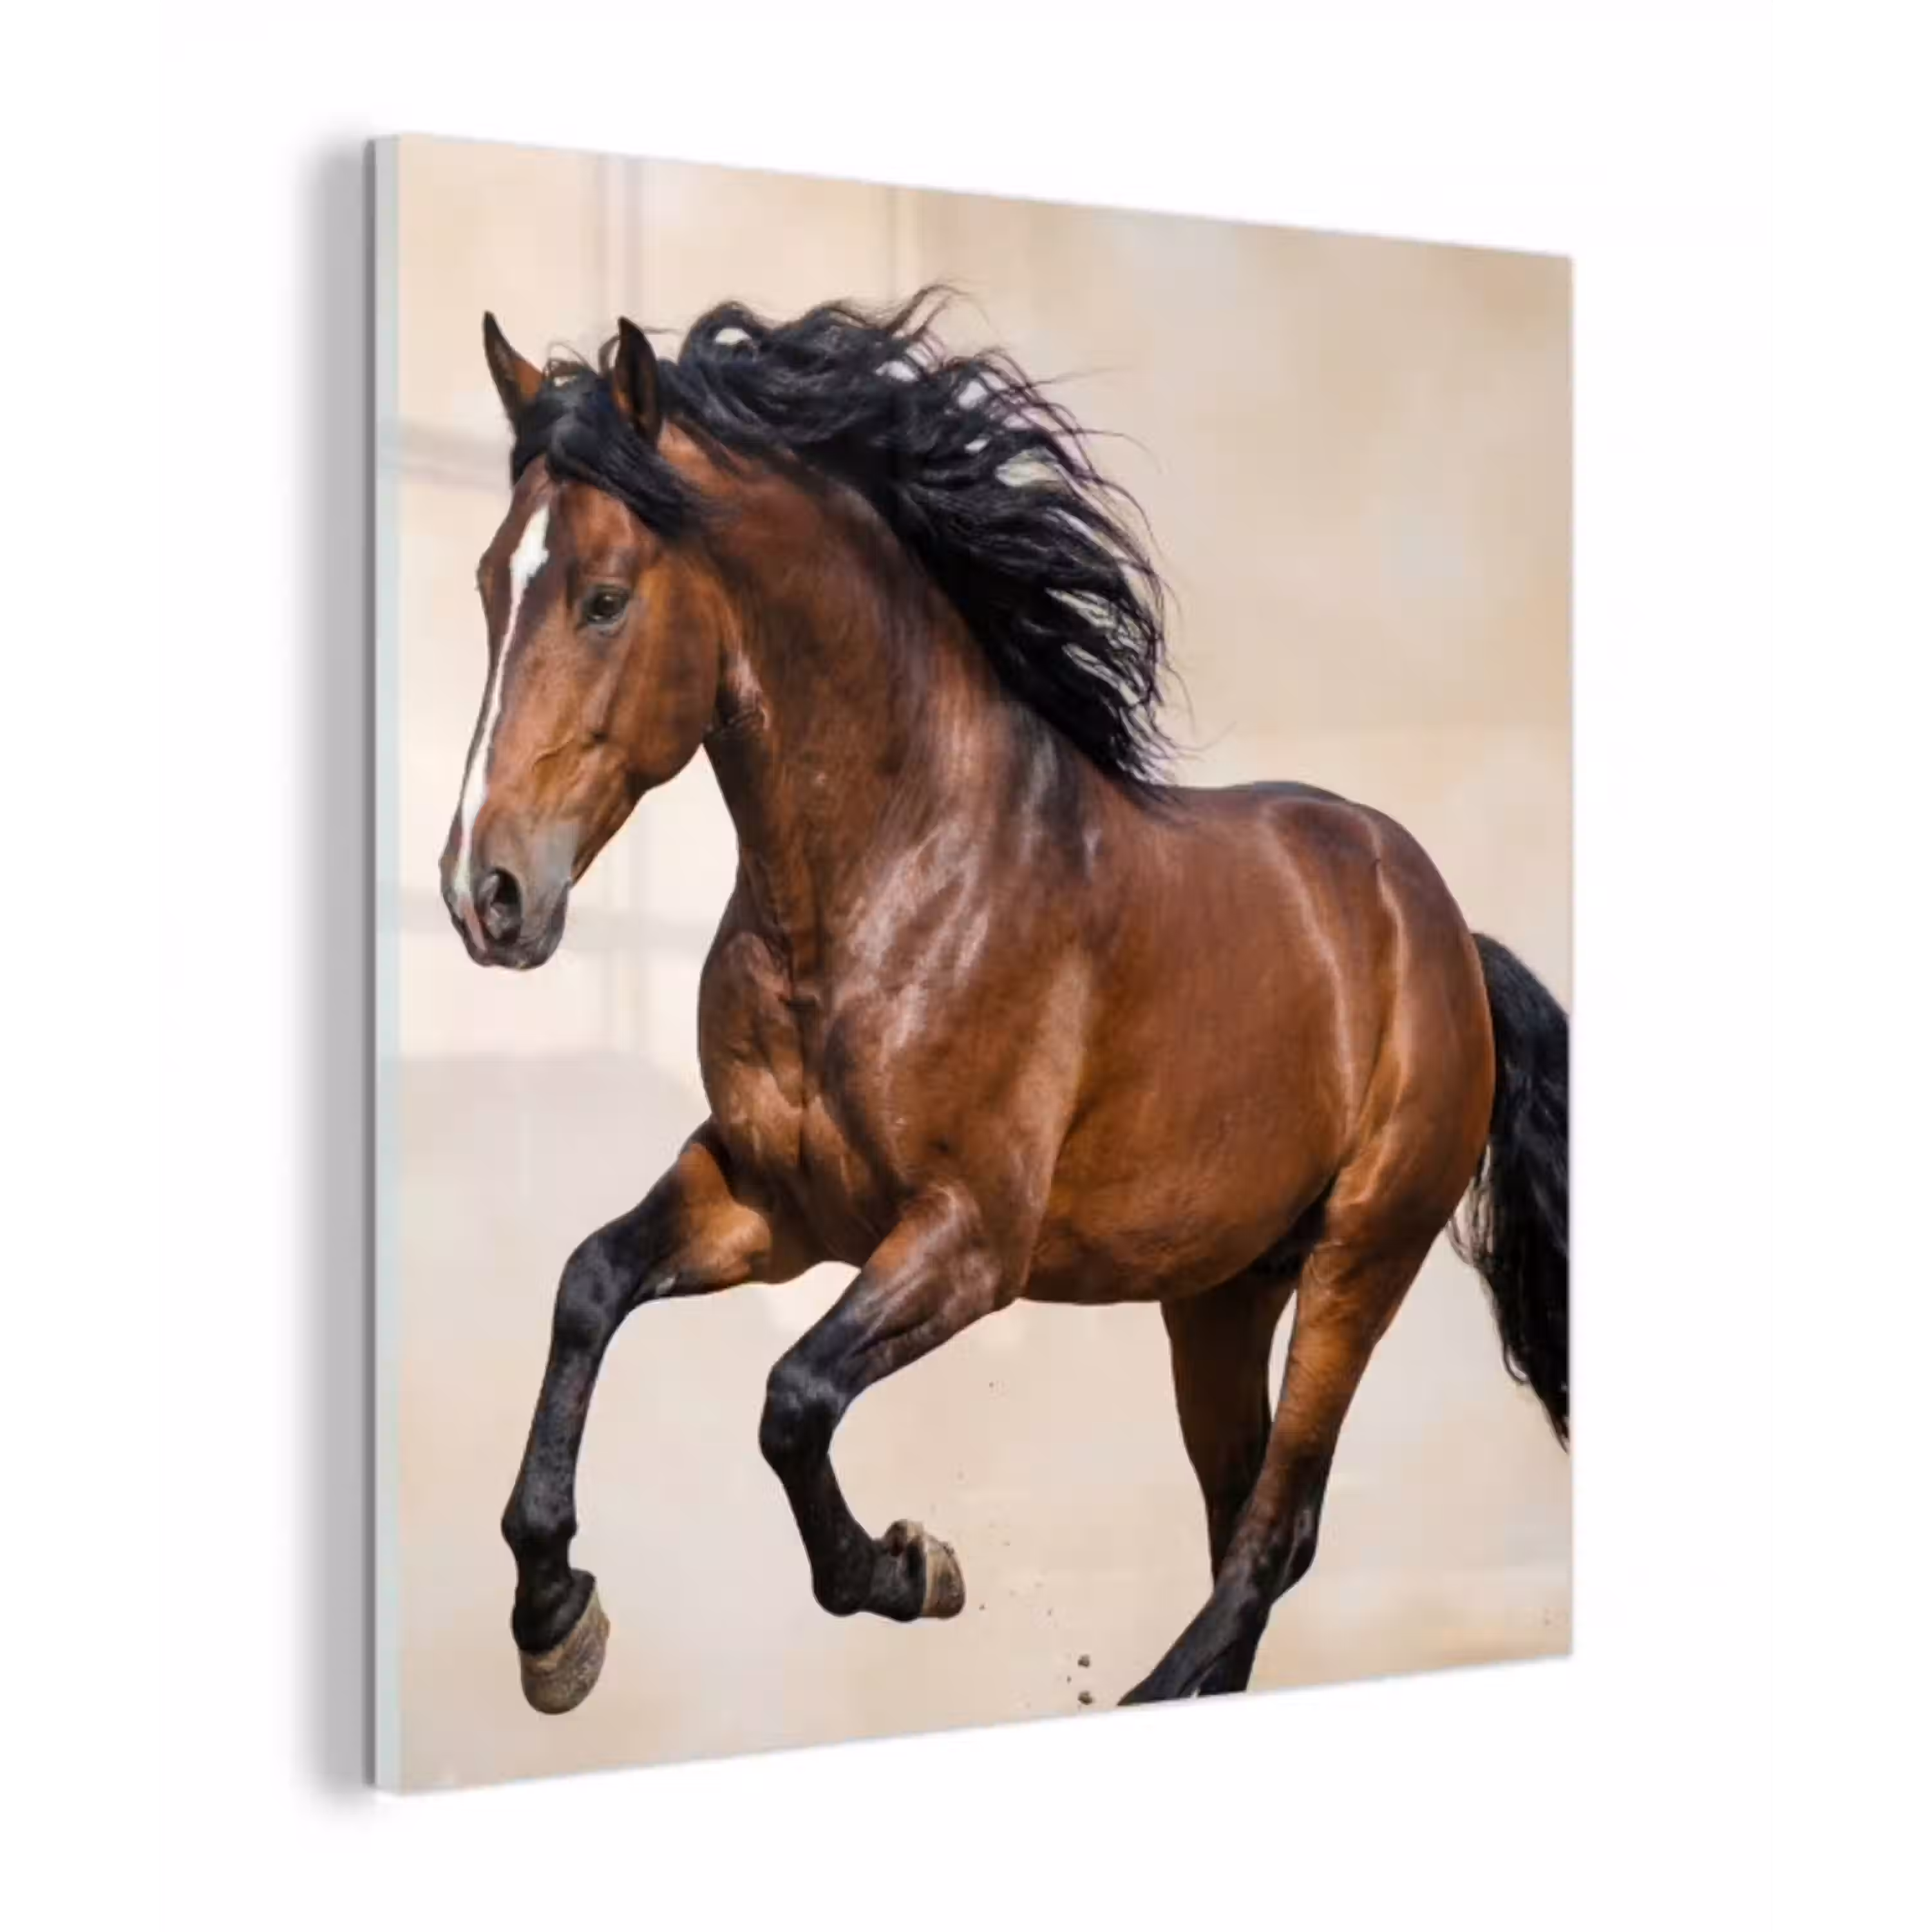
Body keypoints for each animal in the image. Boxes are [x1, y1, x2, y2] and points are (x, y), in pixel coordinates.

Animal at [438, 290, 1570, 1717]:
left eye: (602, 597)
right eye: (491, 582)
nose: (485, 894)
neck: (889, 882)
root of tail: (1447, 935)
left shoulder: (971, 1239)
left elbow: (793, 1397)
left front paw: (911, 1569)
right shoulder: (772, 1202)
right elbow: (590, 1284)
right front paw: (554, 1621)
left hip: (1365, 1256)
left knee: (1277, 1533)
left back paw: (1144, 1689)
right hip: (1221, 1292)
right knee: (1246, 1519)